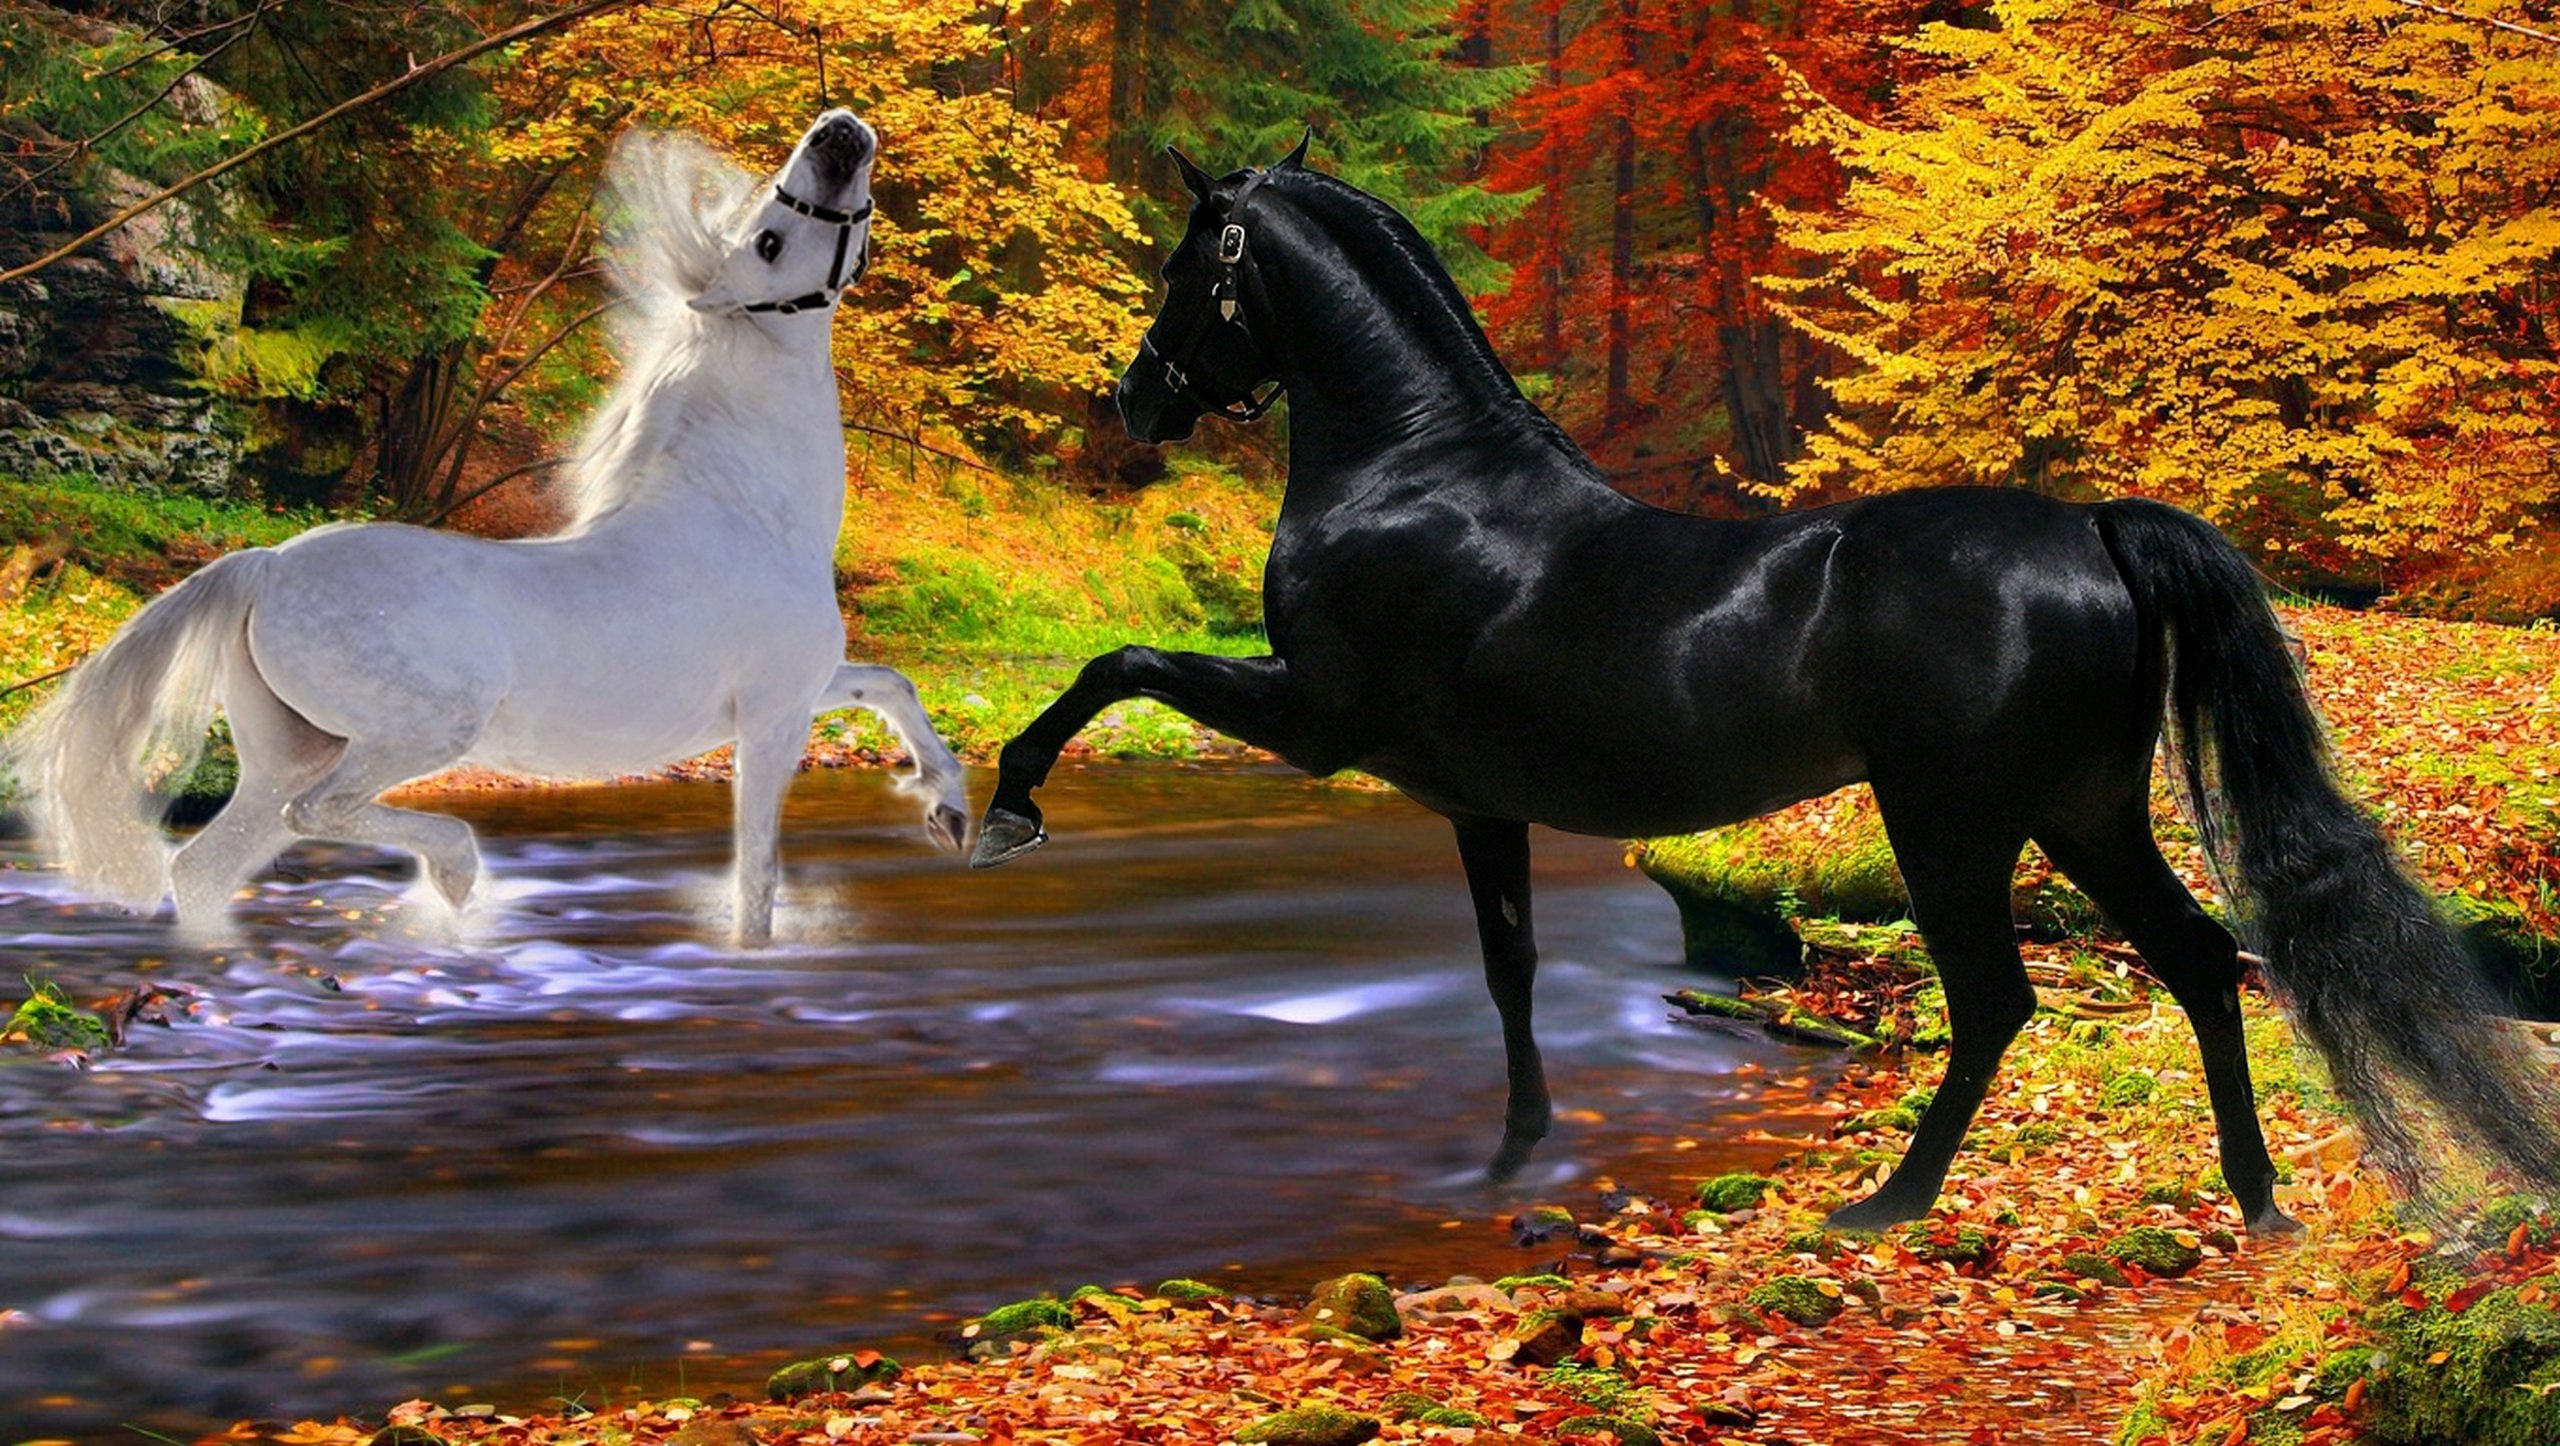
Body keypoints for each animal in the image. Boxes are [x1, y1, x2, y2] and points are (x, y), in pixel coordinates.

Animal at [10, 110, 969, 946]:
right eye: (766, 238)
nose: (838, 130)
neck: (746, 512)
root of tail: (269, 566)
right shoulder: (773, 715)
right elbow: (758, 880)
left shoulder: (809, 686)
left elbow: (890, 685)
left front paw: (951, 812)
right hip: (415, 734)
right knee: (319, 814)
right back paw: (458, 873)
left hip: (292, 748)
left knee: (207, 868)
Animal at [968, 139, 2560, 1232]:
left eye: (1192, 269)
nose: (1135, 398)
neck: (1415, 475)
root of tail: (2089, 528)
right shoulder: (1475, 801)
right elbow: (1508, 967)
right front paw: (1511, 1149)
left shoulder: (1314, 716)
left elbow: (1115, 664)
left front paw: (1005, 812)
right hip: (2084, 811)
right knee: (2198, 958)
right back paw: (2256, 1198)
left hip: (1953, 822)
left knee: (1998, 1000)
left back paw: (1890, 1203)